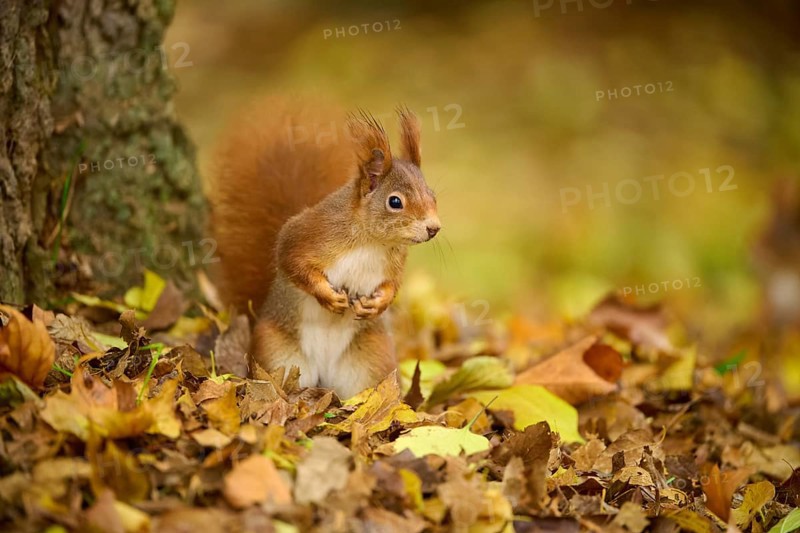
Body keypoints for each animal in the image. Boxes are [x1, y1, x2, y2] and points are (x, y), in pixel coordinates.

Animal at [209, 98, 441, 399]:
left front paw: (377, 303)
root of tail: (324, 374)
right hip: (276, 354)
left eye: (432, 195)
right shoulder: (308, 234)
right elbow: (291, 261)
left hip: (372, 359)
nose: (434, 228)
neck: (371, 241)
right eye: (395, 202)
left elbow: (392, 285)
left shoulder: (395, 261)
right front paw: (329, 297)